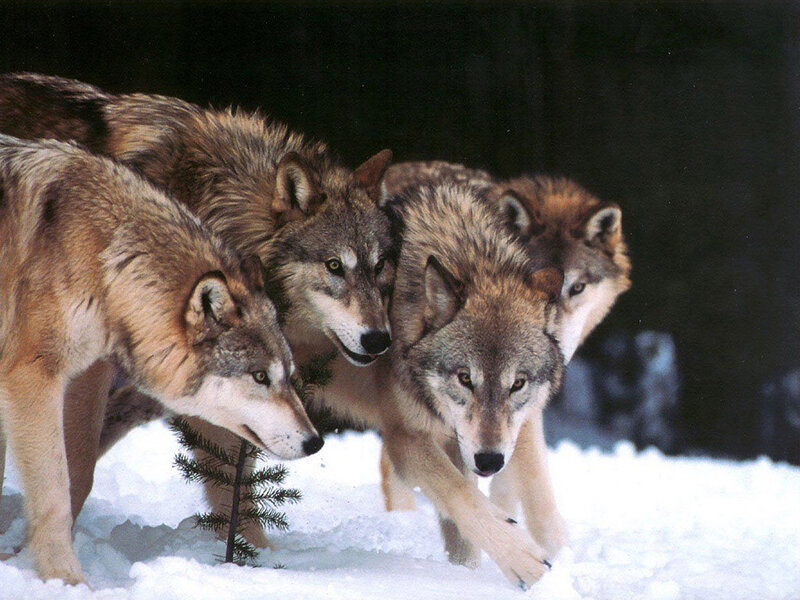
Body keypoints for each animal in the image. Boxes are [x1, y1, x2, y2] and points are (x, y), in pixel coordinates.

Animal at [0, 73, 394, 530]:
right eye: (334, 265)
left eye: (379, 265)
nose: (379, 339)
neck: (215, 208)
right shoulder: (91, 370)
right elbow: (77, 470)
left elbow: (234, 487)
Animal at [0, 135, 321, 583]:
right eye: (259, 377)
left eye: (288, 375)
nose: (316, 442)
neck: (104, 258)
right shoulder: (32, 377)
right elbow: (56, 493)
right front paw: (68, 580)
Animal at [379, 161, 631, 555]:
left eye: (577, 288)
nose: (553, 346)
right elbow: (537, 492)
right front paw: (559, 558)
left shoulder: (523, 410)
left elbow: (511, 482)